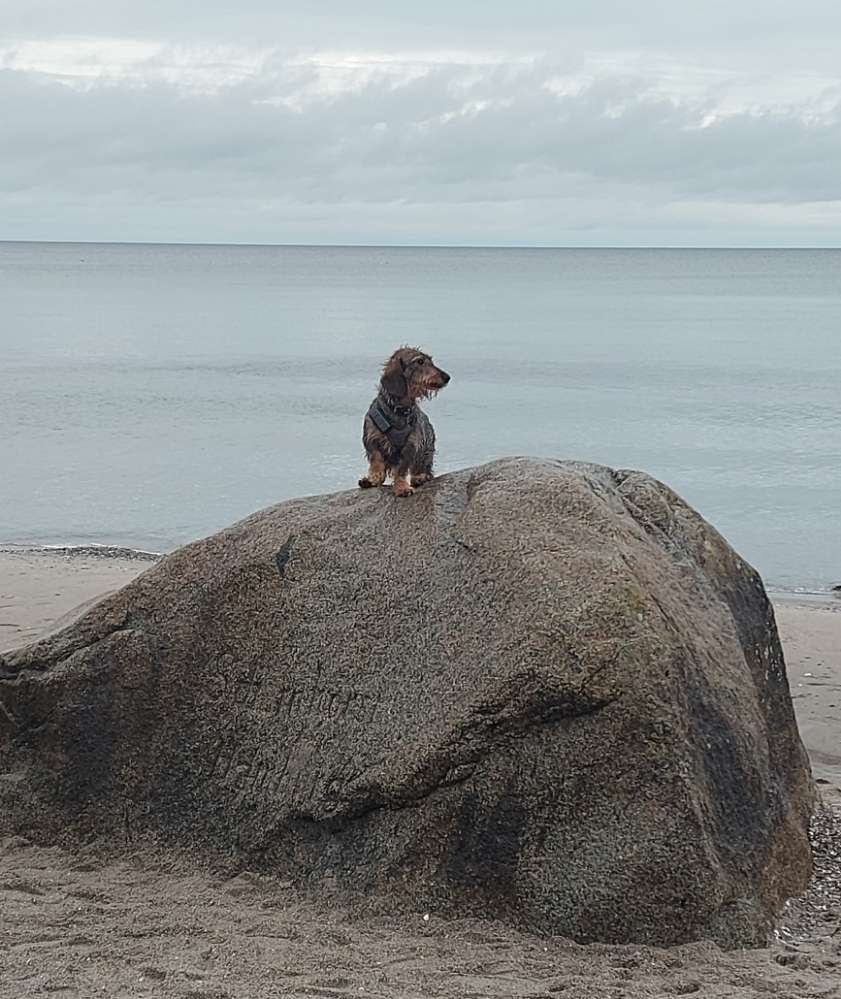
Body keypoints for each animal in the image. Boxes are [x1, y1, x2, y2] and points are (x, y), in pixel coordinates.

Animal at [358, 350, 450, 498]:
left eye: (430, 361)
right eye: (420, 361)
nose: (447, 377)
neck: (399, 410)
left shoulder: (411, 446)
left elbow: (401, 470)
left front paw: (401, 487)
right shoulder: (372, 439)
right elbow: (376, 462)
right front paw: (373, 479)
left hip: (425, 452)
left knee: (423, 470)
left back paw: (420, 477)